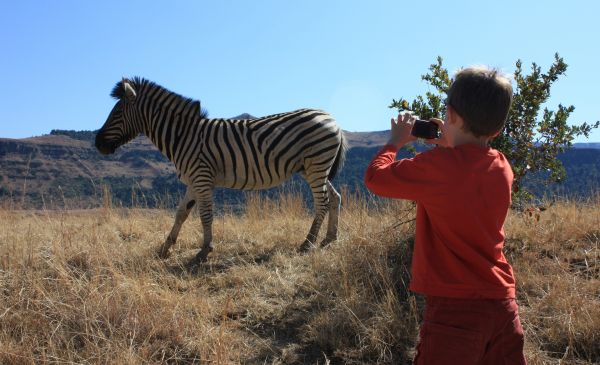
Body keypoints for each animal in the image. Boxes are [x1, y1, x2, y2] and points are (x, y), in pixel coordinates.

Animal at [94, 77, 346, 264]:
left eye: (116, 113)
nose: (97, 144)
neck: (182, 136)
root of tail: (330, 117)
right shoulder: (192, 181)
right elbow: (181, 213)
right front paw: (165, 248)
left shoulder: (202, 177)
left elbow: (205, 215)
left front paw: (204, 251)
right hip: (314, 168)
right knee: (335, 197)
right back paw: (329, 239)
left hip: (316, 164)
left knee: (322, 202)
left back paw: (308, 243)